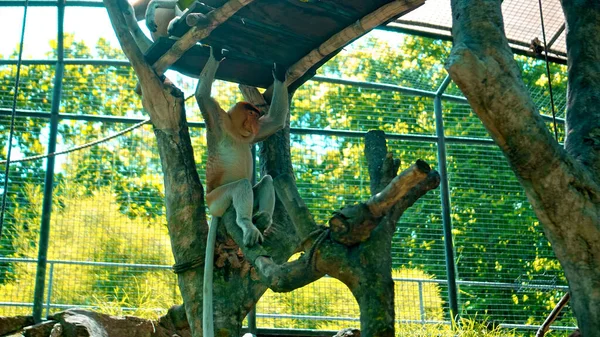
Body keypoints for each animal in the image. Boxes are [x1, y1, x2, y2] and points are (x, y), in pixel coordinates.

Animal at [198, 45, 290, 336]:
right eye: (250, 113)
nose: (254, 122)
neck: (237, 132)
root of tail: (213, 210)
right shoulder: (216, 119)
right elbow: (202, 97)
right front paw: (215, 53)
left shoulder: (258, 133)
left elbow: (275, 122)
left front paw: (279, 73)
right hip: (216, 199)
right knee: (240, 186)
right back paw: (248, 224)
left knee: (266, 181)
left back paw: (262, 219)